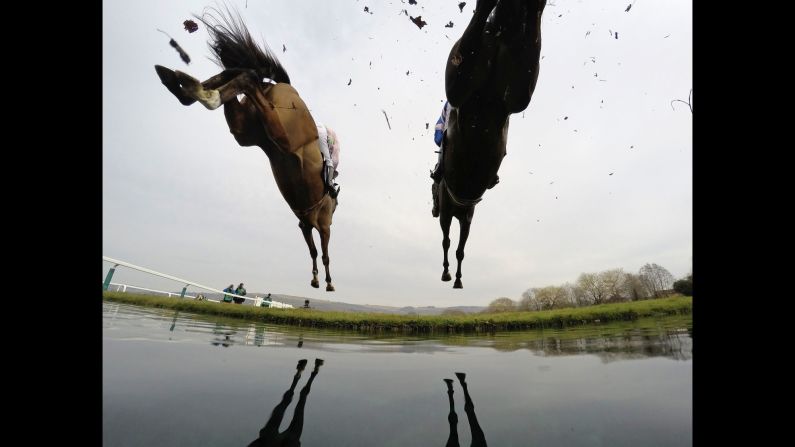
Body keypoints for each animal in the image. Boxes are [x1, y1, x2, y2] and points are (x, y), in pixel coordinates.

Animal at [155, 9, 338, 294]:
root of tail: (287, 86)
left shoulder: (304, 224)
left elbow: (313, 249)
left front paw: (318, 278)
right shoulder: (323, 225)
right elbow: (322, 251)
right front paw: (325, 281)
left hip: (248, 132)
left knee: (240, 75)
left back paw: (183, 83)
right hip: (281, 137)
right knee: (249, 78)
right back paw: (198, 89)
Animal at [436, 0, 548, 288]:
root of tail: (495, 35)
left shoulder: (461, 216)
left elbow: (454, 246)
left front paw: (453, 276)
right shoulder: (455, 215)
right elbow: (451, 244)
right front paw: (450, 274)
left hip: (487, 85)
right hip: (511, 90)